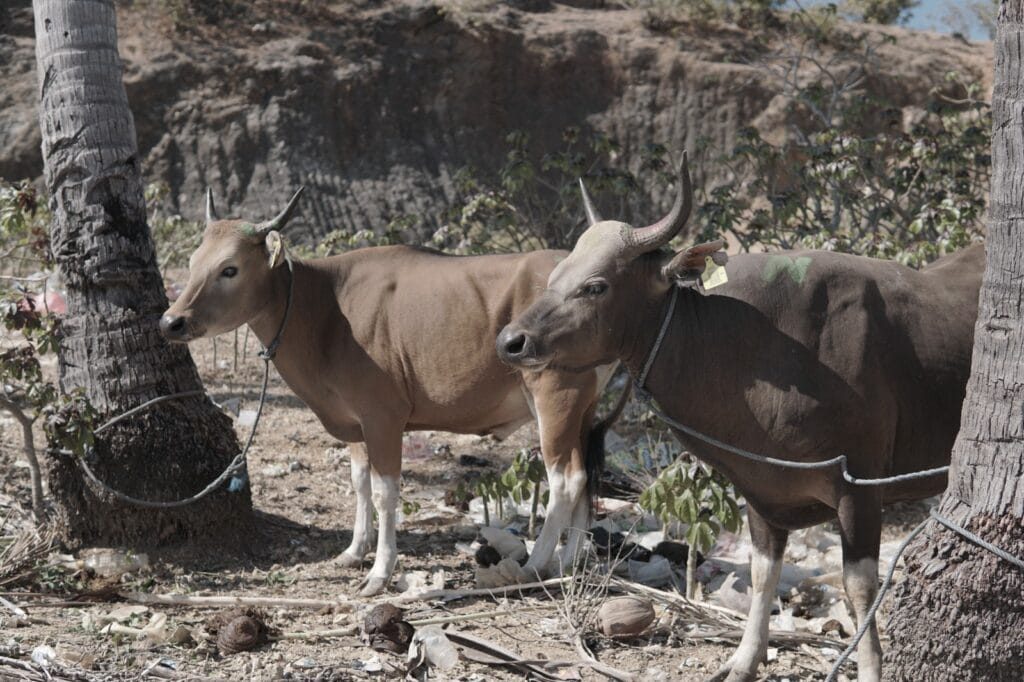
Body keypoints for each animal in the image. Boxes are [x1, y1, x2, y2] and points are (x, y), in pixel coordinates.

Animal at [157, 188, 614, 593]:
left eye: (229, 269)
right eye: (194, 262)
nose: (171, 321)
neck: (323, 310)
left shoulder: (383, 417)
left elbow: (384, 492)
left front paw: (380, 572)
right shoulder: (355, 420)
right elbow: (359, 481)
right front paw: (354, 550)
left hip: (555, 397)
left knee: (565, 480)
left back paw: (536, 563)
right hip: (582, 405)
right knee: (585, 477)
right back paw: (567, 561)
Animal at [495, 155, 983, 679]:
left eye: (596, 286)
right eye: (556, 276)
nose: (511, 340)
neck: (759, 351)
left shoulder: (860, 490)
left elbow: (860, 587)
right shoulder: (762, 493)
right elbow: (762, 573)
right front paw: (745, 659)